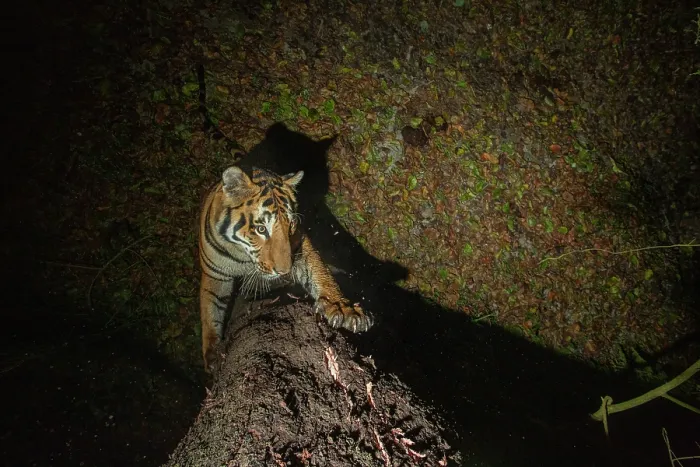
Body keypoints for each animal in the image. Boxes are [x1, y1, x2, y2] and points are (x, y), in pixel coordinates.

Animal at [198, 162, 373, 372]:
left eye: (290, 225)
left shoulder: (298, 245)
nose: (285, 271)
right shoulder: (214, 273)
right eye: (261, 229)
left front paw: (343, 308)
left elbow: (319, 271)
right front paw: (212, 354)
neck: (244, 256)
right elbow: (210, 309)